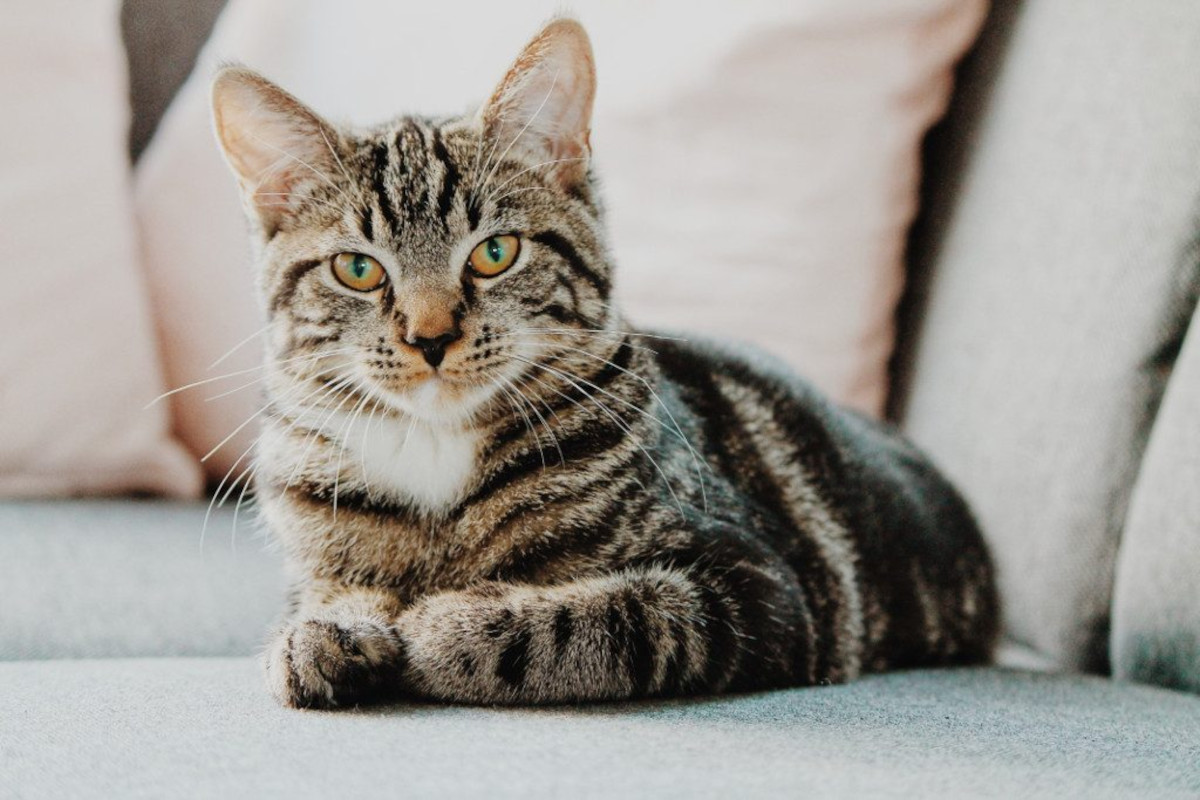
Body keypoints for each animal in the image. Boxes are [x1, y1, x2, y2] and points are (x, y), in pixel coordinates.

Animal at [211, 18, 998, 710]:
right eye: (357, 269)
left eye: (495, 253)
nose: (430, 337)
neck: (436, 453)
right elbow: (326, 592)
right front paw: (323, 630)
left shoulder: (758, 587)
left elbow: (599, 619)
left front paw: (443, 625)